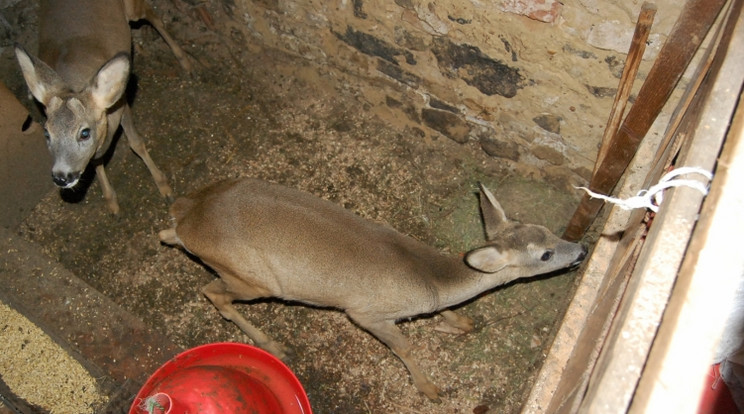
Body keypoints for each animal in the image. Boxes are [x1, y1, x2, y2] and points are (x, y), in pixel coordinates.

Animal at [14, 0, 192, 213]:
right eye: (47, 134)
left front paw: (165, 188)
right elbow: (96, 161)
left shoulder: (121, 104)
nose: (61, 177)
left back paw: (185, 61)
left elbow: (136, 143)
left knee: (152, 15)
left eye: (84, 133)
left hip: (133, 9)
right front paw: (112, 203)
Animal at [158, 179, 588, 402]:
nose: (582, 250)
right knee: (213, 293)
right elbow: (405, 348)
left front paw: (460, 323)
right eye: (546, 254)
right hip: (254, 280)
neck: (429, 278)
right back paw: (276, 347)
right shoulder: (366, 313)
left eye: (547, 230)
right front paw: (430, 388)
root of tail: (186, 216)